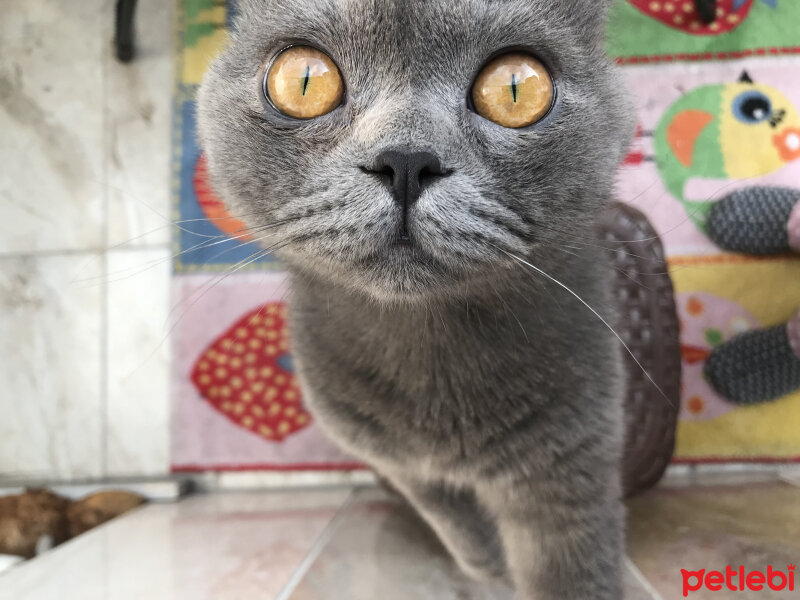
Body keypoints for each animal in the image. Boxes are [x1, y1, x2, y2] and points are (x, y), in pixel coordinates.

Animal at [198, 2, 632, 596]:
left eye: (517, 88)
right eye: (304, 80)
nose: (405, 160)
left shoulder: (571, 455)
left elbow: (571, 570)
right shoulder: (396, 463)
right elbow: (450, 517)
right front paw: (488, 566)